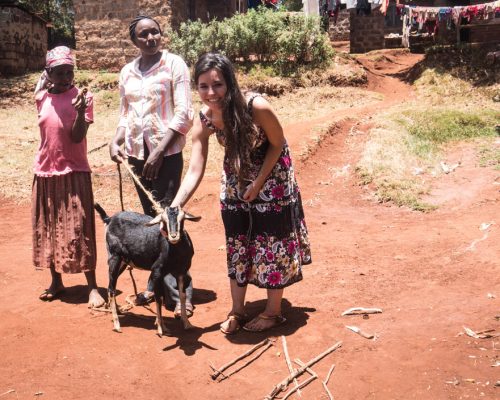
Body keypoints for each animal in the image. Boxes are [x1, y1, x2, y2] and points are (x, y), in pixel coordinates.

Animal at [94, 203, 199, 338]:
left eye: (182, 218)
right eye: (163, 221)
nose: (173, 236)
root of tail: (110, 219)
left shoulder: (181, 271)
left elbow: (182, 296)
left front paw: (186, 324)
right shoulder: (157, 271)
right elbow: (158, 298)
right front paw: (160, 328)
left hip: (123, 262)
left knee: (111, 286)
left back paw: (118, 311)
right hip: (114, 258)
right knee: (111, 288)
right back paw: (117, 324)